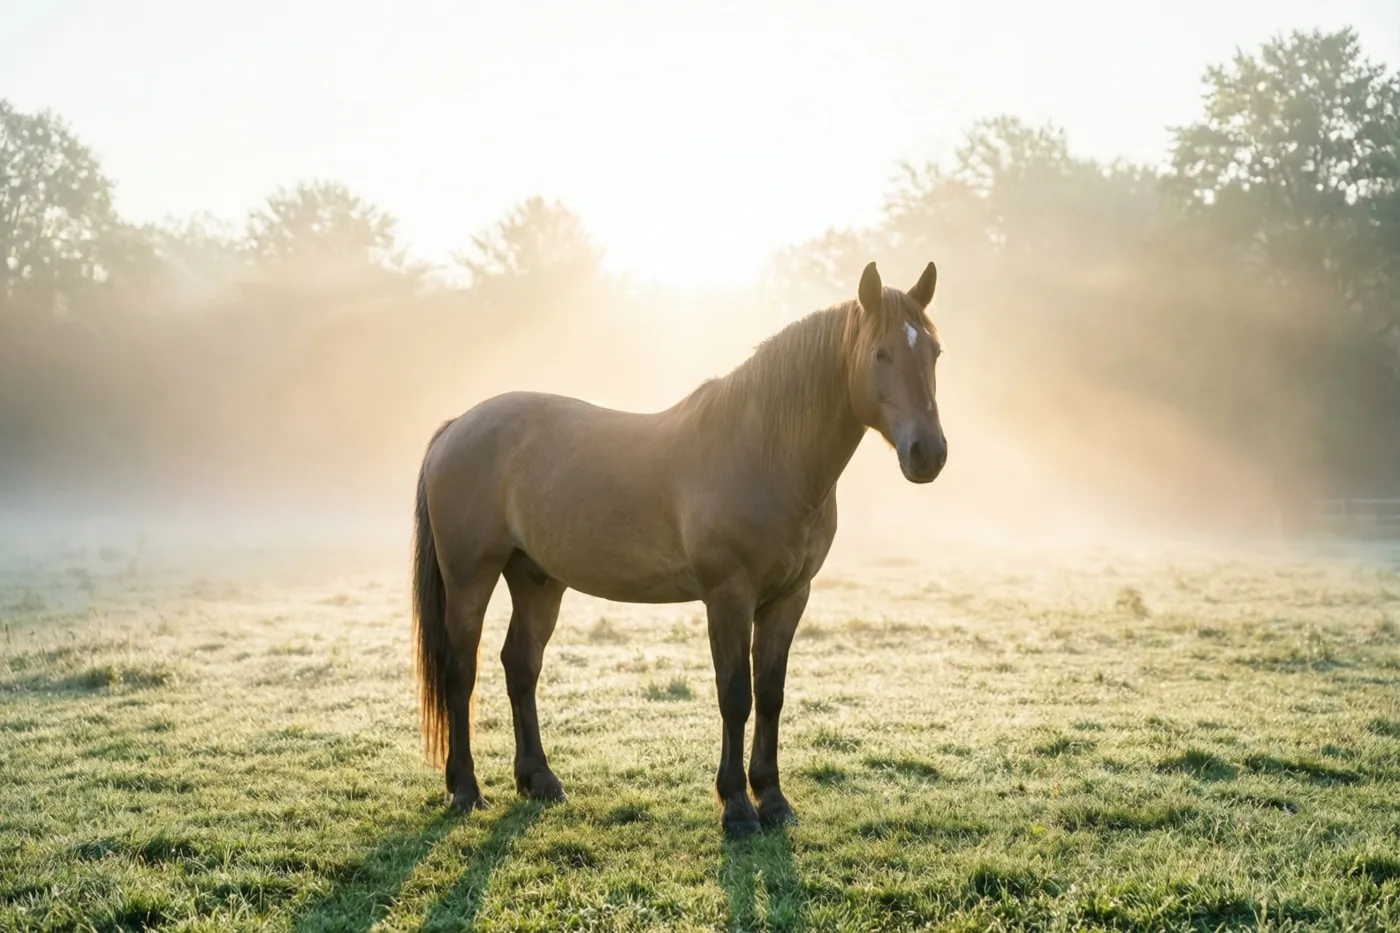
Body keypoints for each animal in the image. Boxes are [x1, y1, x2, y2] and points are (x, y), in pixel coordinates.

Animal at [411, 260, 947, 839]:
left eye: (935, 352)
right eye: (881, 353)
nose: (929, 453)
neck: (764, 452)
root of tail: (455, 428)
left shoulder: (789, 597)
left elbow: (771, 694)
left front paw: (773, 799)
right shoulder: (728, 596)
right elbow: (735, 695)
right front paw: (737, 808)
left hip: (536, 580)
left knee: (520, 666)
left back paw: (540, 780)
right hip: (470, 577)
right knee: (460, 672)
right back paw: (465, 789)